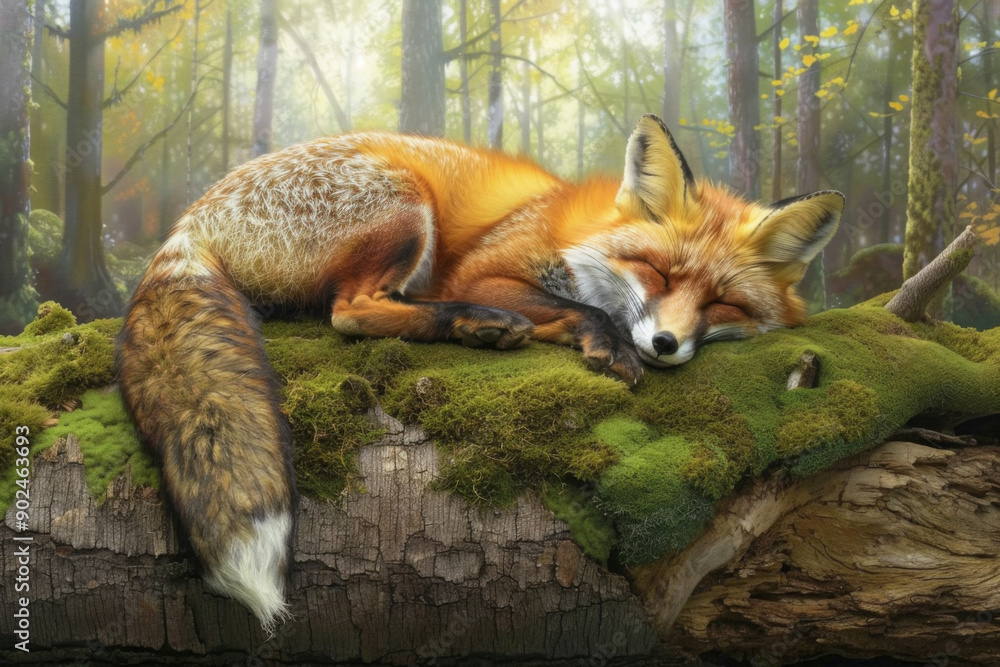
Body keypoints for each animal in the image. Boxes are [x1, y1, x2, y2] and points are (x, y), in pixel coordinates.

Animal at [116, 114, 843, 630]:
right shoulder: (486, 267)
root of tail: (190, 220)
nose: (664, 343)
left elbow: (570, 311)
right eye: (659, 273)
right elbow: (577, 305)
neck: (577, 229)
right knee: (350, 312)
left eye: (723, 304)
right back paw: (472, 321)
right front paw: (603, 340)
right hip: (406, 204)